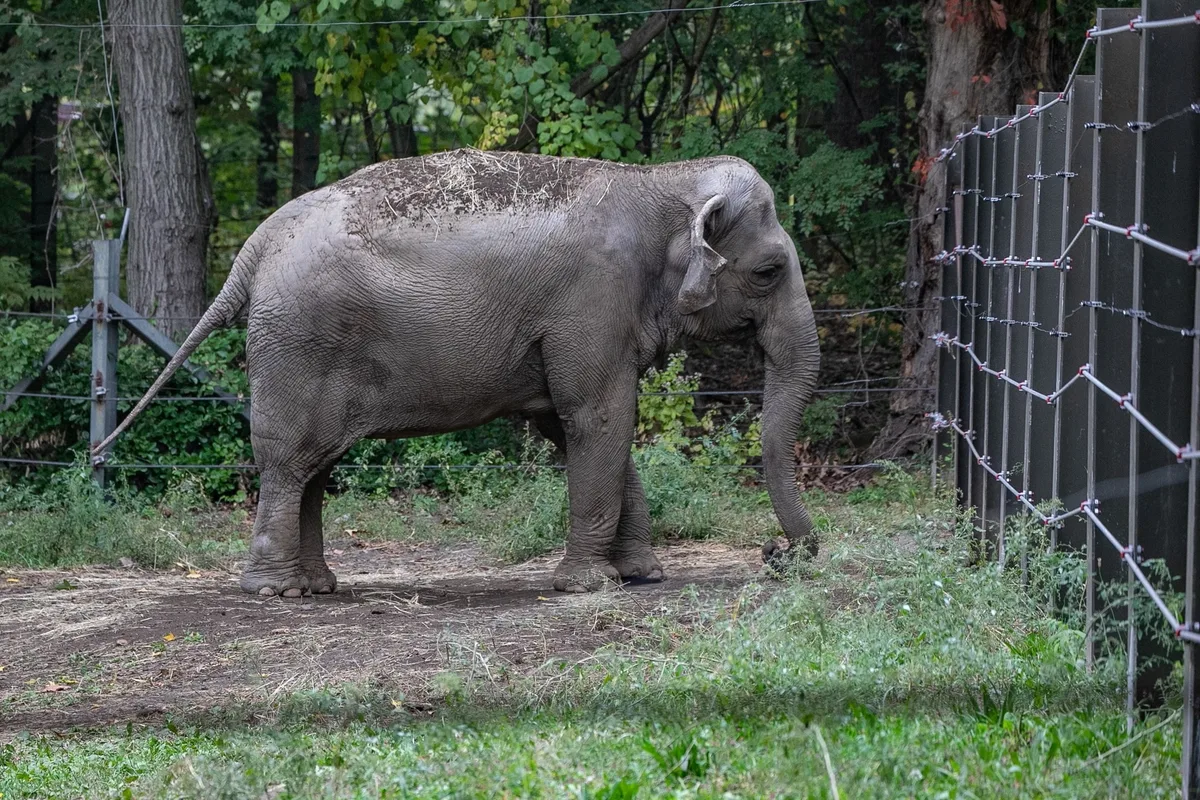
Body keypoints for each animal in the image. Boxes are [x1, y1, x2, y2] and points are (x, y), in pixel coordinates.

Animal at [96, 149, 821, 597]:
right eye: (769, 271)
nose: (778, 554)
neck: (661, 181)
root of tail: (254, 248)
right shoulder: (592, 303)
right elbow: (598, 417)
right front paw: (590, 586)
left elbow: (573, 426)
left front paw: (641, 575)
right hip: (297, 345)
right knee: (288, 462)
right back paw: (277, 591)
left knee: (315, 468)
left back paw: (318, 586)